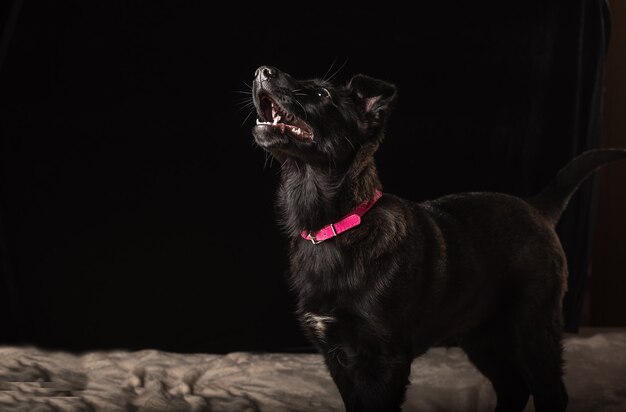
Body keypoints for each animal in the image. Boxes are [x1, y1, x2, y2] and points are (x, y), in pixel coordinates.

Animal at [249, 65, 624, 412]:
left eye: (322, 94)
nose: (263, 71)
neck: (337, 226)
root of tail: (536, 206)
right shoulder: (337, 356)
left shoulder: (384, 361)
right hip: (481, 334)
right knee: (513, 388)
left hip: (533, 326)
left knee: (550, 392)